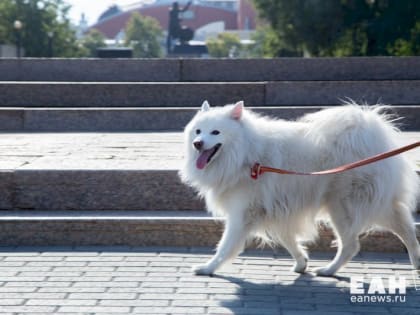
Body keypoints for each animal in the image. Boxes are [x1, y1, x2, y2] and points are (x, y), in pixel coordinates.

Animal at [178, 101, 420, 276]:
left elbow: (225, 245)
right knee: (406, 228)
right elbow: (288, 240)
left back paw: (328, 270)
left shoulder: (243, 212)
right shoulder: (275, 209)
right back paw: (416, 262)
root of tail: (371, 134)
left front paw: (208, 268)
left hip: (343, 207)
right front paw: (301, 262)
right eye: (198, 131)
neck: (246, 155)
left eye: (215, 132)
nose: (197, 143)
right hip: (375, 205)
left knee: (351, 245)